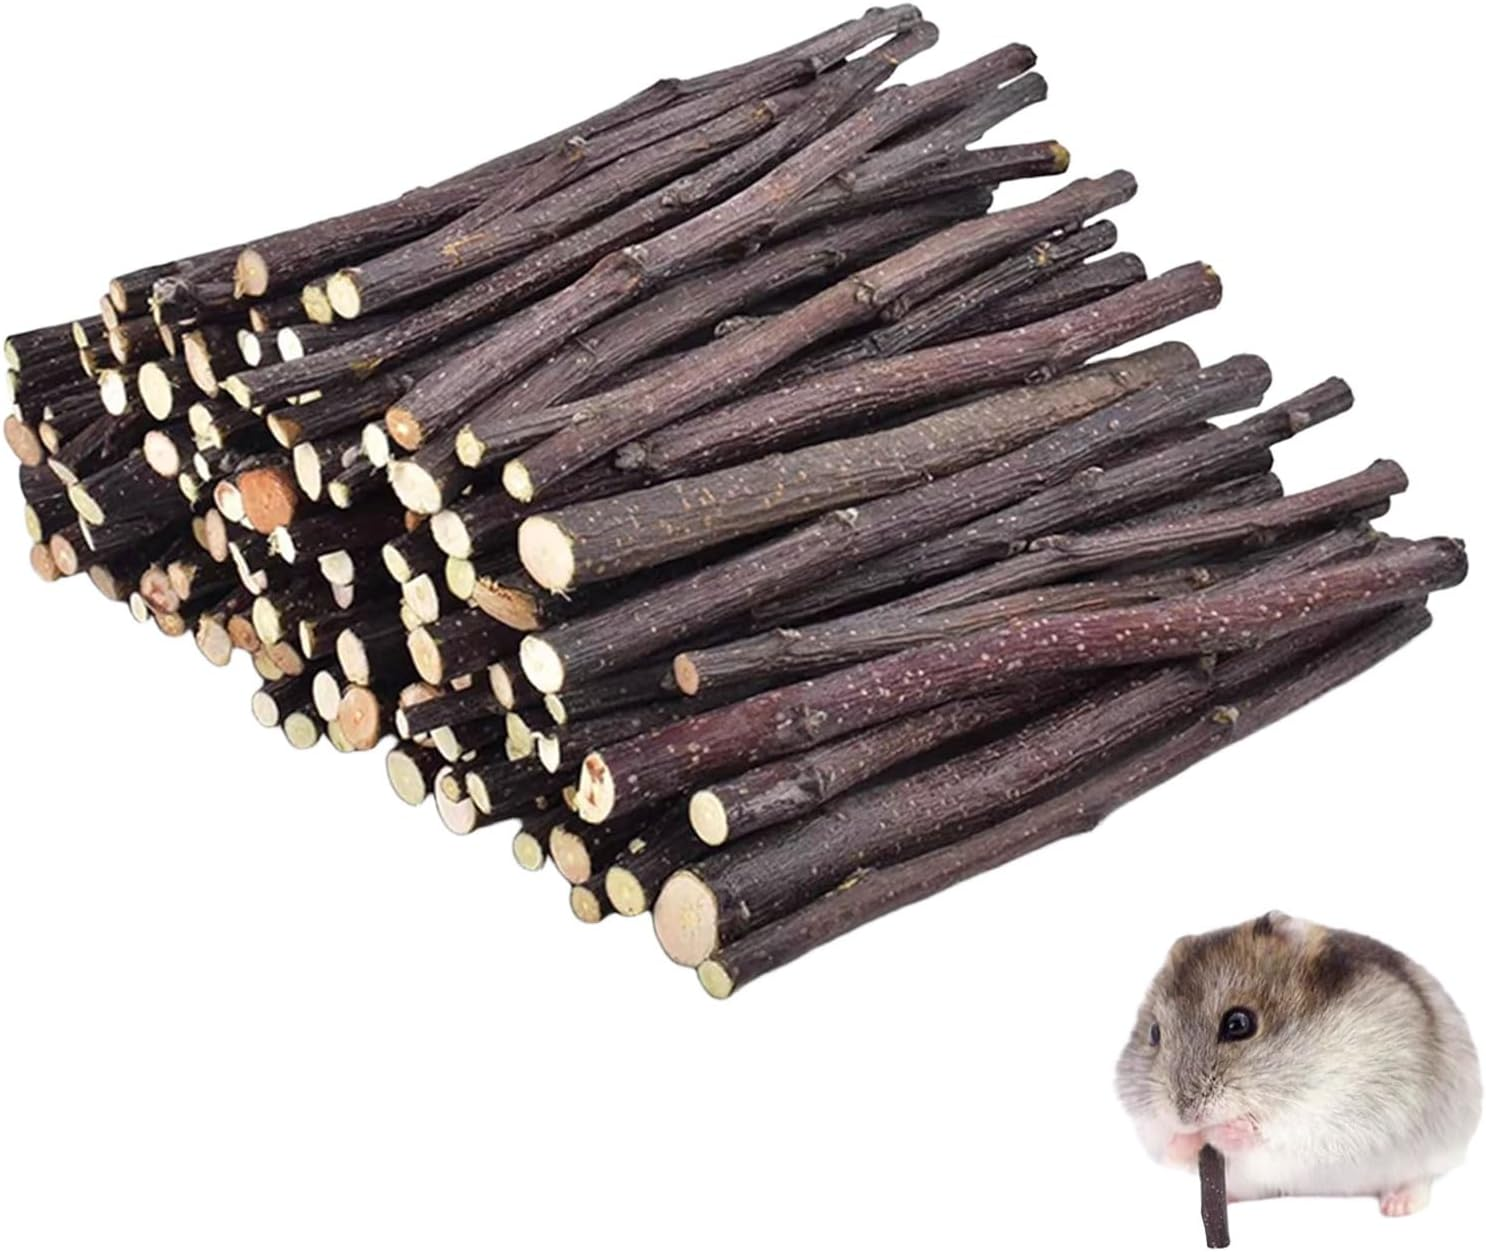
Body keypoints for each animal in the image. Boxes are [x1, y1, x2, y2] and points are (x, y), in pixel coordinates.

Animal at [1116, 911, 1481, 1216]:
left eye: (1238, 1023)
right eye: (1154, 1033)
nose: (1185, 1116)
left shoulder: (1339, 1115)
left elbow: (1272, 1136)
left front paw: (1224, 1129)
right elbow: (1169, 1150)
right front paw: (1187, 1139)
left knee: (1420, 1178)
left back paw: (1398, 1206)